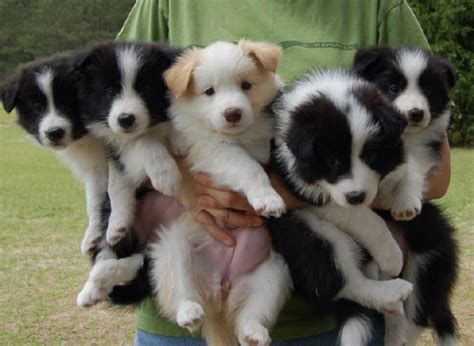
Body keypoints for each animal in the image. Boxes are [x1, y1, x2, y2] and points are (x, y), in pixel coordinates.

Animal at [1, 52, 108, 255]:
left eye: (68, 103)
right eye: (37, 107)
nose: (54, 132)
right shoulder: (96, 167)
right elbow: (95, 199)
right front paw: (92, 236)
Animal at [74, 42, 181, 306]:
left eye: (146, 90)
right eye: (110, 91)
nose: (125, 119)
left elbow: (147, 140)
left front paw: (166, 174)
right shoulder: (116, 151)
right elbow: (119, 182)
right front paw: (118, 224)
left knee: (144, 262)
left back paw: (104, 274)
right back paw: (93, 287)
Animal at [150, 41, 292, 346]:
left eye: (246, 85)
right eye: (209, 92)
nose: (232, 113)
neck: (242, 134)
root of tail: (220, 294)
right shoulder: (214, 150)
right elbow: (248, 166)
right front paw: (267, 198)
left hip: (274, 272)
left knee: (252, 314)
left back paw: (253, 333)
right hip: (174, 248)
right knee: (179, 290)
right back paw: (189, 312)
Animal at [270, 69, 414, 344]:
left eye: (371, 156)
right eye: (332, 160)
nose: (356, 197)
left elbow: (405, 170)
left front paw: (407, 198)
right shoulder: (303, 188)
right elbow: (366, 219)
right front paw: (390, 254)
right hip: (314, 235)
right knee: (345, 282)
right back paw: (391, 293)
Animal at [352, 46, 456, 220]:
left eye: (428, 91)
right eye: (393, 88)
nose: (416, 113)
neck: (405, 134)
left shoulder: (423, 148)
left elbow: (411, 169)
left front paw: (405, 204)